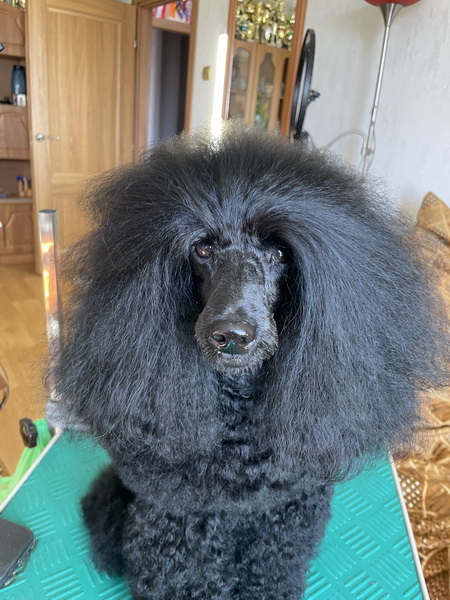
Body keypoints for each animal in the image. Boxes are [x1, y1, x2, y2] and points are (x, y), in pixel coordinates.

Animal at [52, 122, 449, 599]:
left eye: (279, 253)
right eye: (203, 249)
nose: (232, 335)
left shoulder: (282, 514)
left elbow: (269, 569)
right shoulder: (181, 515)